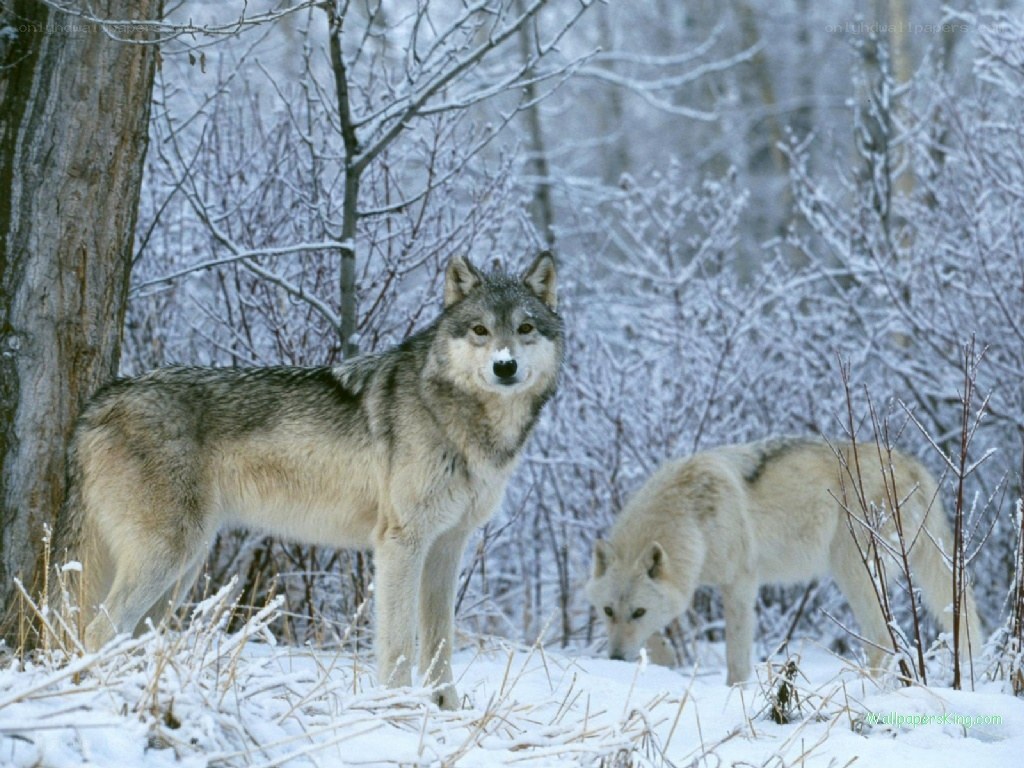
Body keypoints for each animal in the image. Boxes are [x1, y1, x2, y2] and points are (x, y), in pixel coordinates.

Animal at [51, 252, 562, 709]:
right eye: (480, 330)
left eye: (525, 329)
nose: (504, 366)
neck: (463, 420)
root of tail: (99, 402)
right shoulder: (401, 543)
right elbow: (399, 644)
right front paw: (397, 711)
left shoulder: (447, 546)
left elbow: (440, 645)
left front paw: (445, 710)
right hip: (168, 558)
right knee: (97, 629)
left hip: (182, 571)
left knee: (130, 635)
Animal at [586, 438, 984, 684]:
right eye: (607, 611)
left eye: (638, 611)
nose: (615, 658)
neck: (691, 516)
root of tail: (913, 466)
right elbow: (659, 638)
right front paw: (663, 660)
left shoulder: (740, 584)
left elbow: (736, 660)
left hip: (853, 573)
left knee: (883, 641)